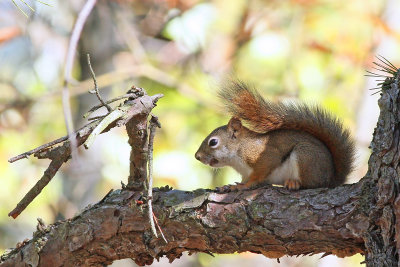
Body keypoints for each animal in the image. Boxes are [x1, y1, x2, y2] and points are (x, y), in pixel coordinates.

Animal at [195, 81, 354, 191]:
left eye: (213, 142)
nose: (197, 156)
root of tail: (332, 179)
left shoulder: (264, 156)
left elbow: (258, 174)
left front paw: (244, 186)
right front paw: (233, 186)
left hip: (306, 156)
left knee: (312, 184)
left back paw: (294, 183)